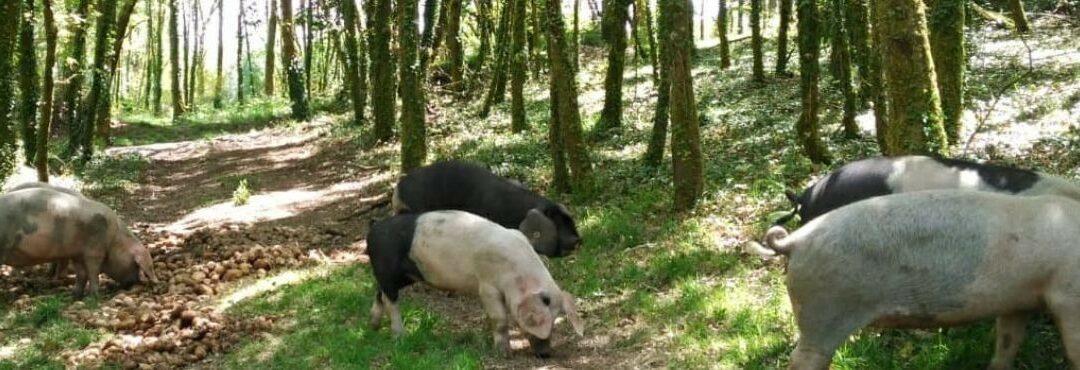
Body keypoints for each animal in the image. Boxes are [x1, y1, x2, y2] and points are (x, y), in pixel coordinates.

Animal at [0, 186, 158, 297]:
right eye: (136, 265)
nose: (135, 284)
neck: (115, 240)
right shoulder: (95, 250)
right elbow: (93, 273)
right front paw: (95, 296)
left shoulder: (77, 254)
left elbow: (81, 275)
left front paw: (75, 294)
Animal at [365, 210, 587, 358]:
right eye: (543, 321)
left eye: (556, 321)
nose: (546, 353)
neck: (516, 275)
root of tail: (373, 230)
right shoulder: (487, 286)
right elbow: (499, 319)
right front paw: (504, 354)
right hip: (386, 269)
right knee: (390, 300)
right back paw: (398, 337)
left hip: (404, 276)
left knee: (379, 293)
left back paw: (373, 327)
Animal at [747, 190, 1080, 370]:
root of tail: (796, 240)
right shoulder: (1068, 296)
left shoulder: (1017, 302)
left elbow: (1008, 343)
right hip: (821, 311)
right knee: (804, 358)